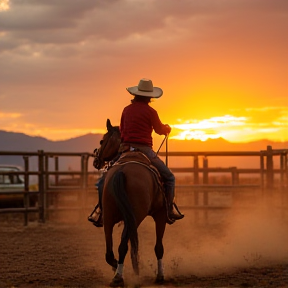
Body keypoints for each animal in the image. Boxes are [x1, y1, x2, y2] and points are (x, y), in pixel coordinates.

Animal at [93, 118, 168, 286]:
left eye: (102, 140)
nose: (96, 161)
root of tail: (122, 172)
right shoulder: (160, 215)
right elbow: (158, 247)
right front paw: (160, 276)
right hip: (134, 217)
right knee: (123, 246)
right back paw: (120, 276)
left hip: (108, 217)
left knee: (110, 252)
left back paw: (117, 271)